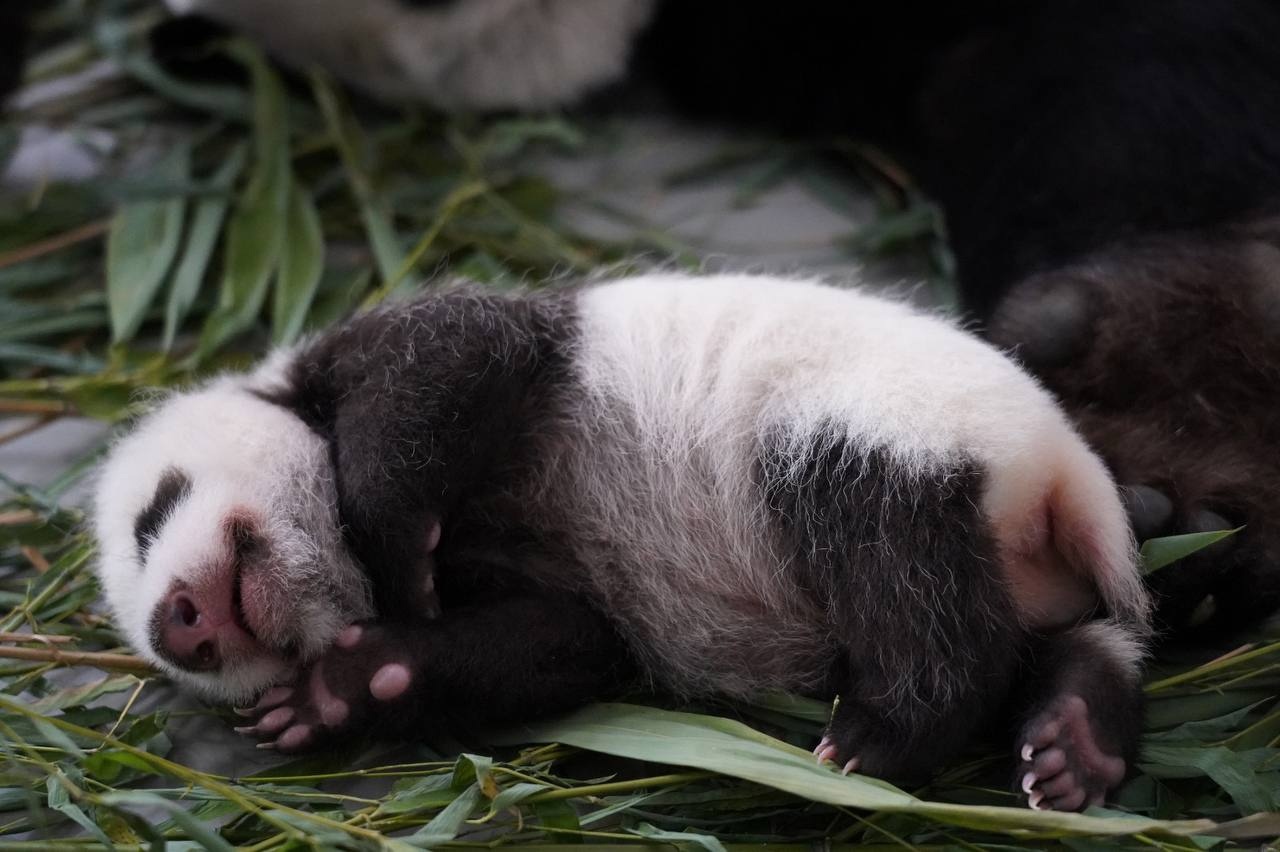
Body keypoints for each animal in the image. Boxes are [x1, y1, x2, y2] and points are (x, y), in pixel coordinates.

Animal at [92, 273, 1152, 808]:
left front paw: (390, 543)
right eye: (180, 662)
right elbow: (564, 642)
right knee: (1030, 630)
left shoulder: (419, 354)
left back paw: (877, 737)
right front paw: (338, 690)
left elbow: (456, 357)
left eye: (152, 517)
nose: (184, 628)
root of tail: (1059, 477)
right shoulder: (530, 580)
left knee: (895, 560)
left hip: (873, 426)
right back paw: (1073, 737)